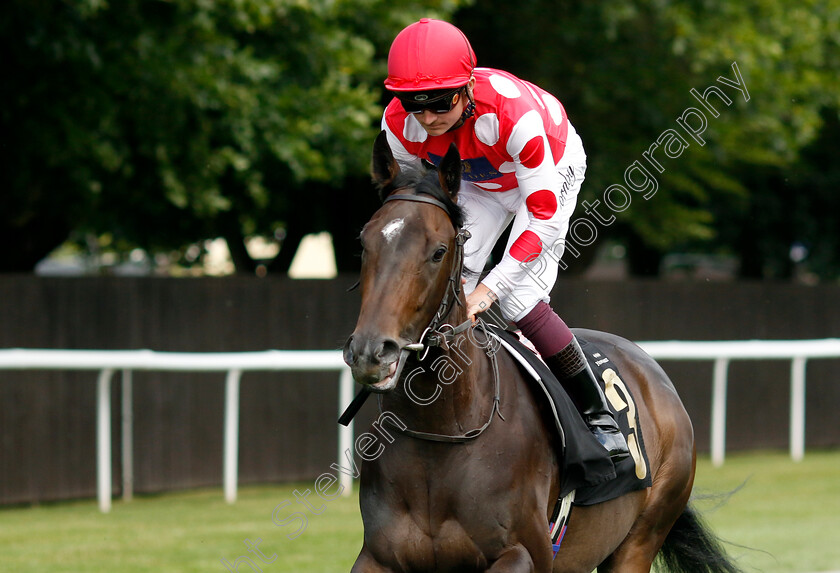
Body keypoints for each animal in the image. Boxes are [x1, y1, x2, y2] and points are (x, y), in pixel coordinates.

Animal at [342, 130, 740, 572]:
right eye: (364, 244)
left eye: (437, 252)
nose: (371, 351)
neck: (442, 433)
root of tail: (655, 375)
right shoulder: (378, 556)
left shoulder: (525, 552)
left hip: (641, 537)